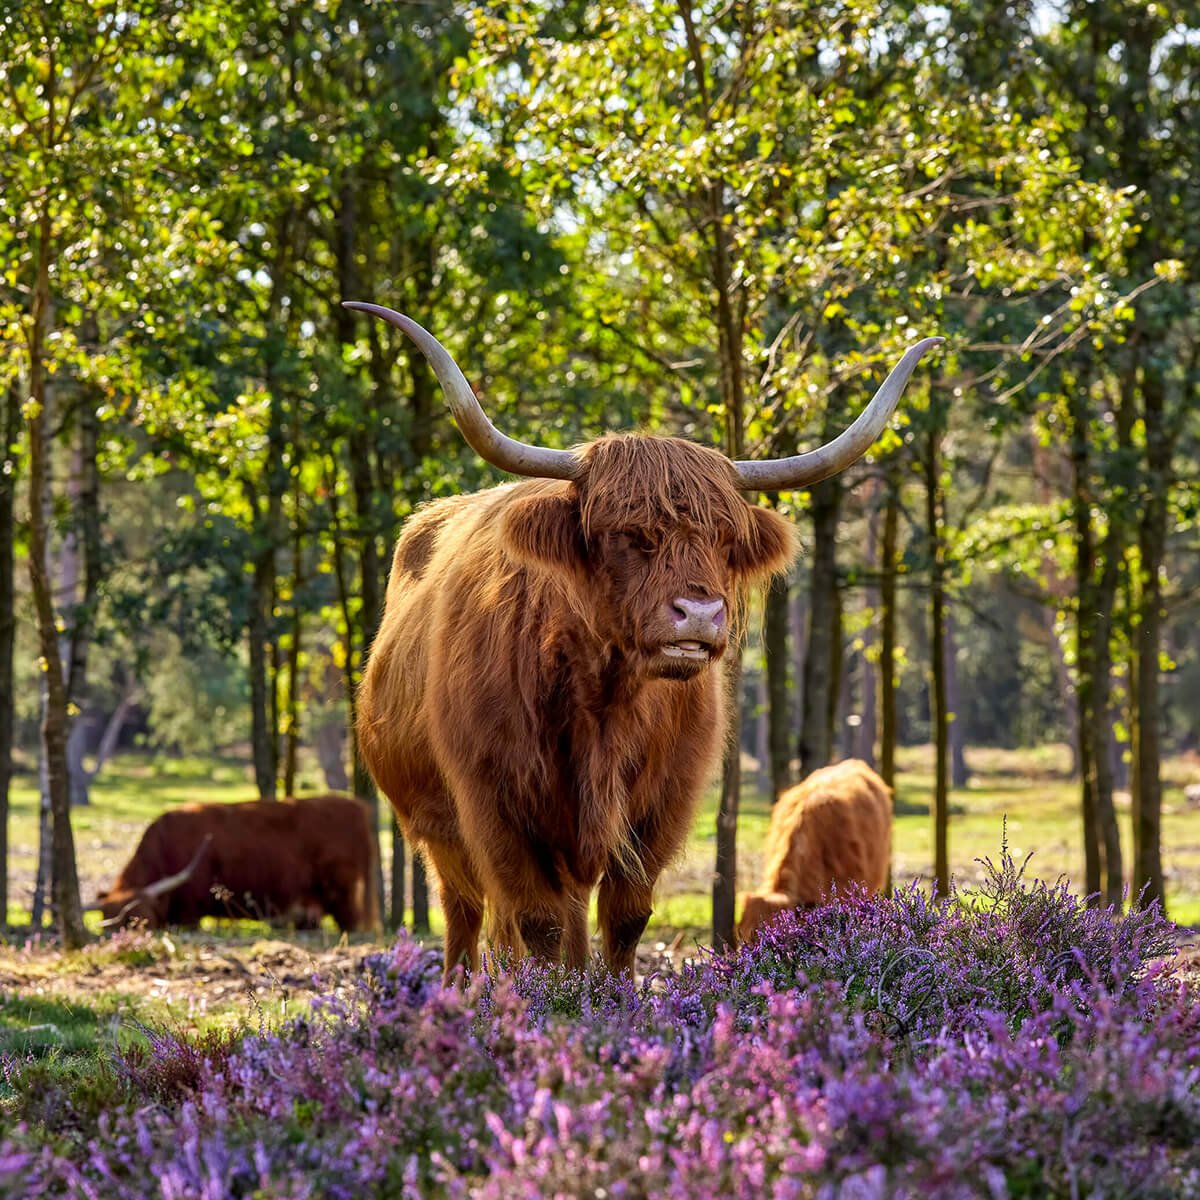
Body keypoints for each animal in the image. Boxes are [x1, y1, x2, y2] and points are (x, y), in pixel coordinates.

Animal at [97, 796, 379, 936]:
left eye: (140, 919)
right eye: (113, 923)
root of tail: (356, 806)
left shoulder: (190, 915)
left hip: (341, 893)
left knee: (349, 923)